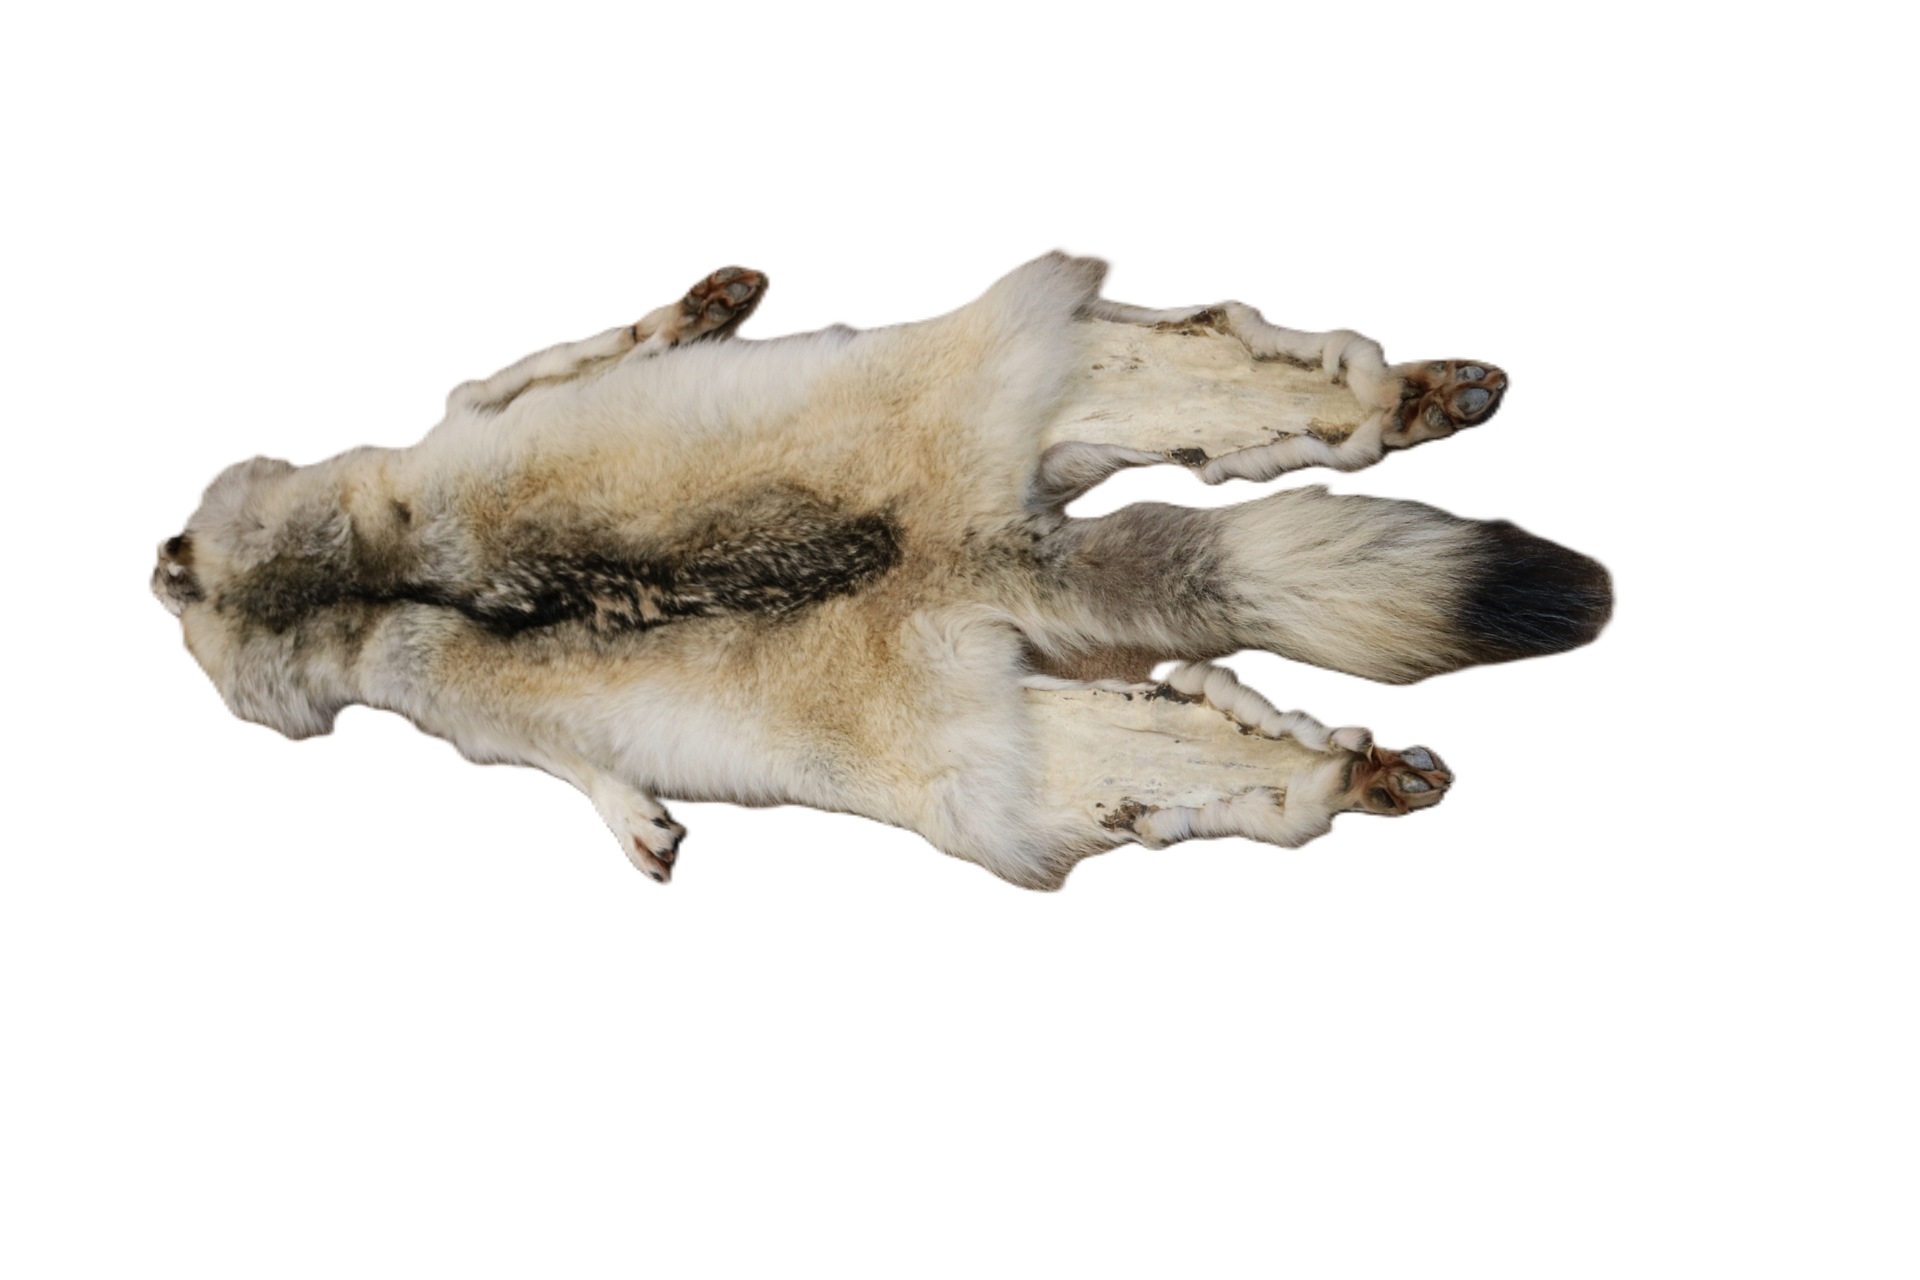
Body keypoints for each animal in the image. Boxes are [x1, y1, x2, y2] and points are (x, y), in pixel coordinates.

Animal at [151, 254, 1611, 890]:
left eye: (188, 575)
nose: (157, 563)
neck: (358, 577)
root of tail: (989, 560)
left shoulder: (458, 429)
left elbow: (566, 356)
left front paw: (707, 306)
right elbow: (576, 769)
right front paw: (641, 824)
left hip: (1003, 372)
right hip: (1026, 728)